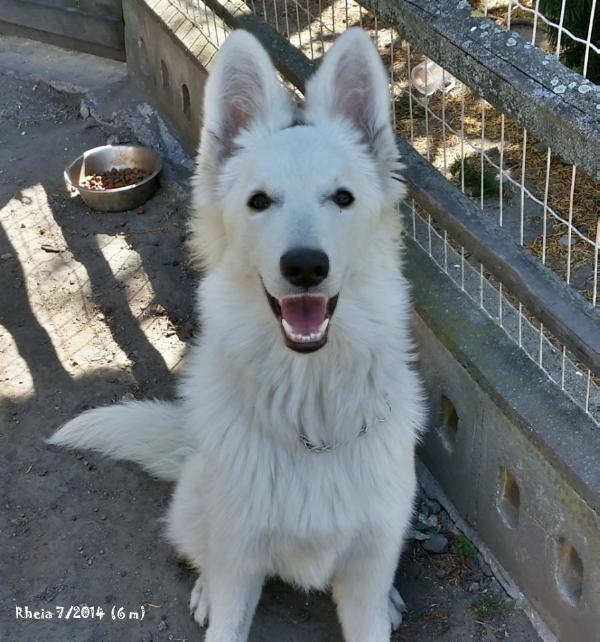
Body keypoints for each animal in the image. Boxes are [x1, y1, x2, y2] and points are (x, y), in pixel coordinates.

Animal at [50, 26, 426, 640]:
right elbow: (226, 612)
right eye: (259, 202)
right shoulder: (238, 565)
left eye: (343, 198)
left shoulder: (366, 579)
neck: (310, 413)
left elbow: (371, 606)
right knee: (199, 551)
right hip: (198, 514)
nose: (305, 267)